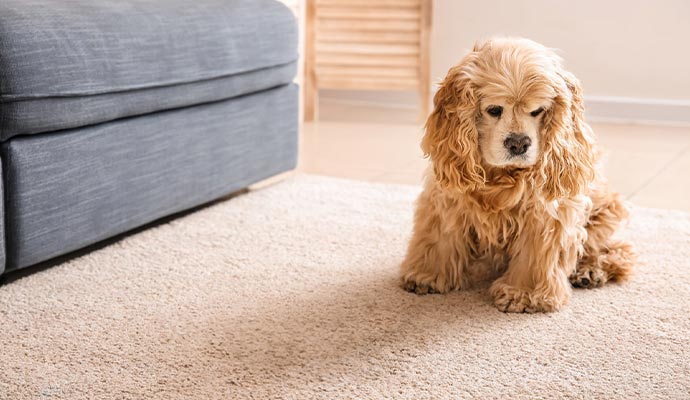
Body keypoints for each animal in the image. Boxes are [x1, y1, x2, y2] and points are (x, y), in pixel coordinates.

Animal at [400, 37, 632, 312]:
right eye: (494, 110)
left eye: (538, 110)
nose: (519, 144)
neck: (500, 176)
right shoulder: (447, 199)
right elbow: (439, 238)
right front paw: (426, 275)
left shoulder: (545, 214)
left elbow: (535, 255)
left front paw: (523, 294)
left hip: (605, 211)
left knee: (615, 249)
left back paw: (589, 271)